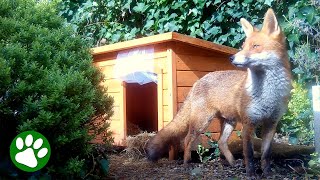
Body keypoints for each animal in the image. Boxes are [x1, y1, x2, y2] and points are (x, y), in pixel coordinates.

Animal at [147, 8, 292, 177]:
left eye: (256, 46)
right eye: (243, 46)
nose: (231, 57)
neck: (267, 94)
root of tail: (198, 81)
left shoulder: (271, 123)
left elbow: (266, 154)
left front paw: (267, 173)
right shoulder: (248, 124)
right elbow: (249, 153)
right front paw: (251, 174)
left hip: (229, 121)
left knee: (221, 142)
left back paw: (232, 163)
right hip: (202, 122)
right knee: (188, 139)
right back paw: (186, 163)